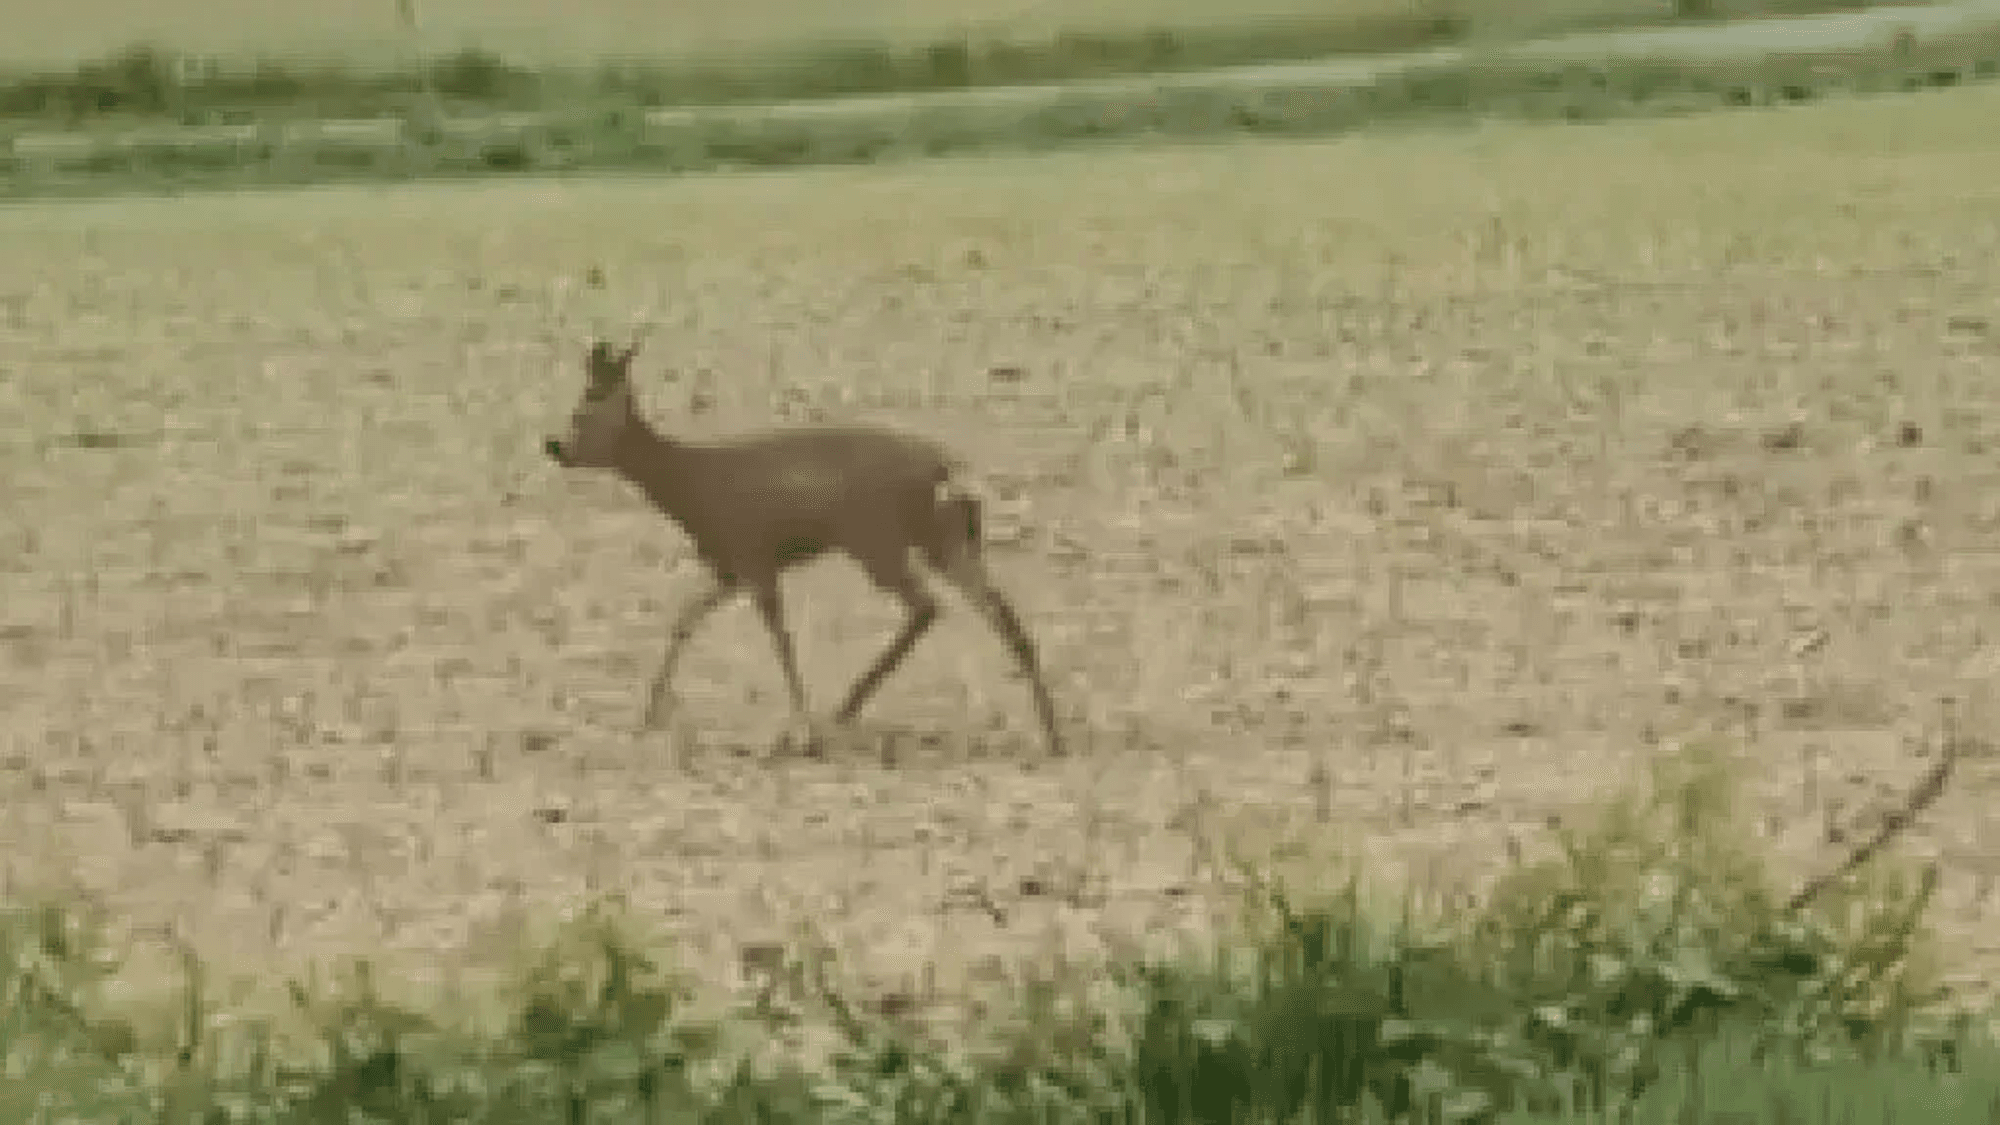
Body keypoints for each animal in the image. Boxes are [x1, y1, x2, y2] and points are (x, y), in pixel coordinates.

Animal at [542, 337, 1064, 758]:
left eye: (582, 412)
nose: (554, 446)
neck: (694, 488)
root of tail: (946, 469)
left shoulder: (754, 556)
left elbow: (781, 638)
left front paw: (801, 732)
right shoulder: (727, 566)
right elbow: (683, 620)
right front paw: (649, 717)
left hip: (875, 538)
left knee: (927, 605)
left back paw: (846, 710)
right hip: (947, 537)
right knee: (1002, 615)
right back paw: (1052, 734)